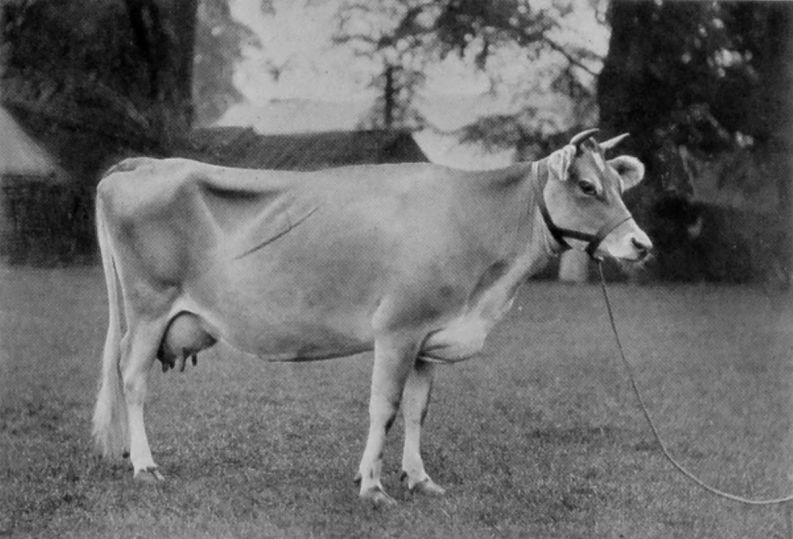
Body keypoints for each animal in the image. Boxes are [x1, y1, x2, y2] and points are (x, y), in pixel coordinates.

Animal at [92, 129, 651, 506]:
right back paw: (144, 465)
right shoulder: (398, 330)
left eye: (618, 186)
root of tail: (143, 164)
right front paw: (373, 486)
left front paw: (419, 479)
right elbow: (383, 408)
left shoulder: (430, 336)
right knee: (133, 380)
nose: (641, 244)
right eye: (586, 186)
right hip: (148, 309)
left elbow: (417, 411)